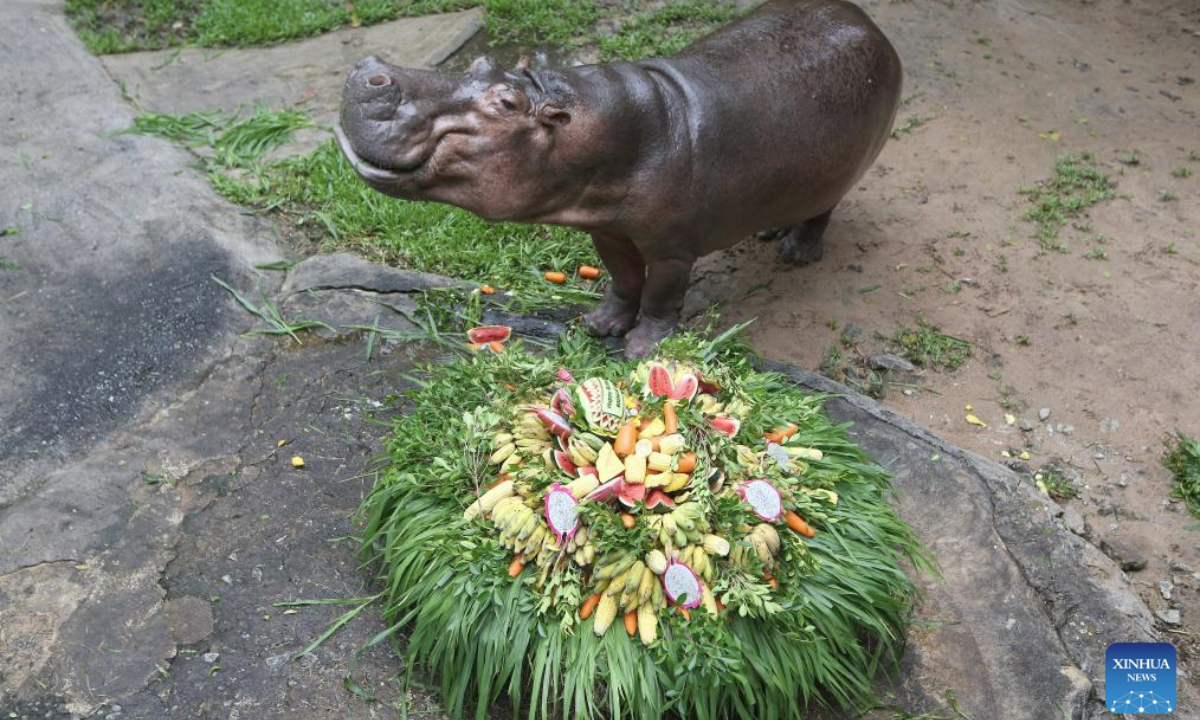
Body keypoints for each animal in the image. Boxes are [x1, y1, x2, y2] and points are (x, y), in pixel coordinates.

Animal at [335, 0, 901, 357]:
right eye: (478, 61)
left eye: (507, 103)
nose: (371, 67)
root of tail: (866, 20)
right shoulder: (607, 229)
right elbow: (624, 281)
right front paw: (600, 325)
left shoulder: (672, 248)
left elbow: (660, 296)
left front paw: (642, 348)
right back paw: (768, 231)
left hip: (842, 172)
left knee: (822, 212)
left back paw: (797, 252)